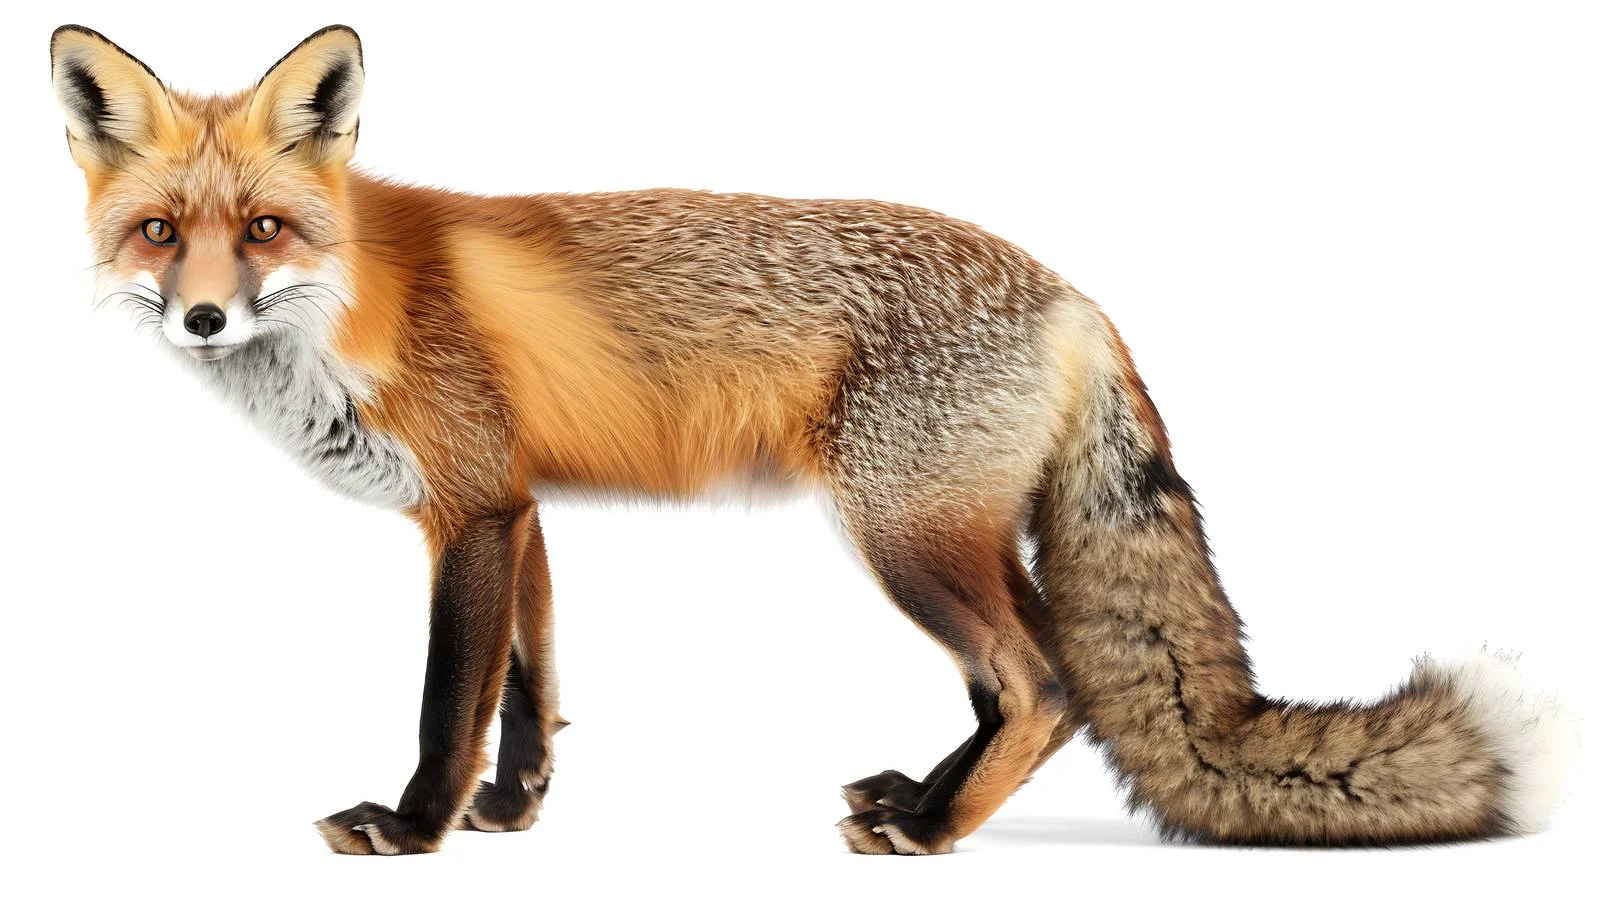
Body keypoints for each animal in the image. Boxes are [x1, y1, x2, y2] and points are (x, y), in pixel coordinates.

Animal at [50, 23, 1574, 856]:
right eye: (159, 233)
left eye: (263, 229)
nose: (200, 316)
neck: (350, 298)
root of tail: (1070, 292)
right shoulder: (522, 506)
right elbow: (534, 691)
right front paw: (515, 811)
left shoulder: (471, 508)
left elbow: (448, 701)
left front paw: (416, 828)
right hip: (943, 538)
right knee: (1035, 686)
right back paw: (919, 796)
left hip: (899, 535)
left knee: (1045, 684)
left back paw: (935, 834)